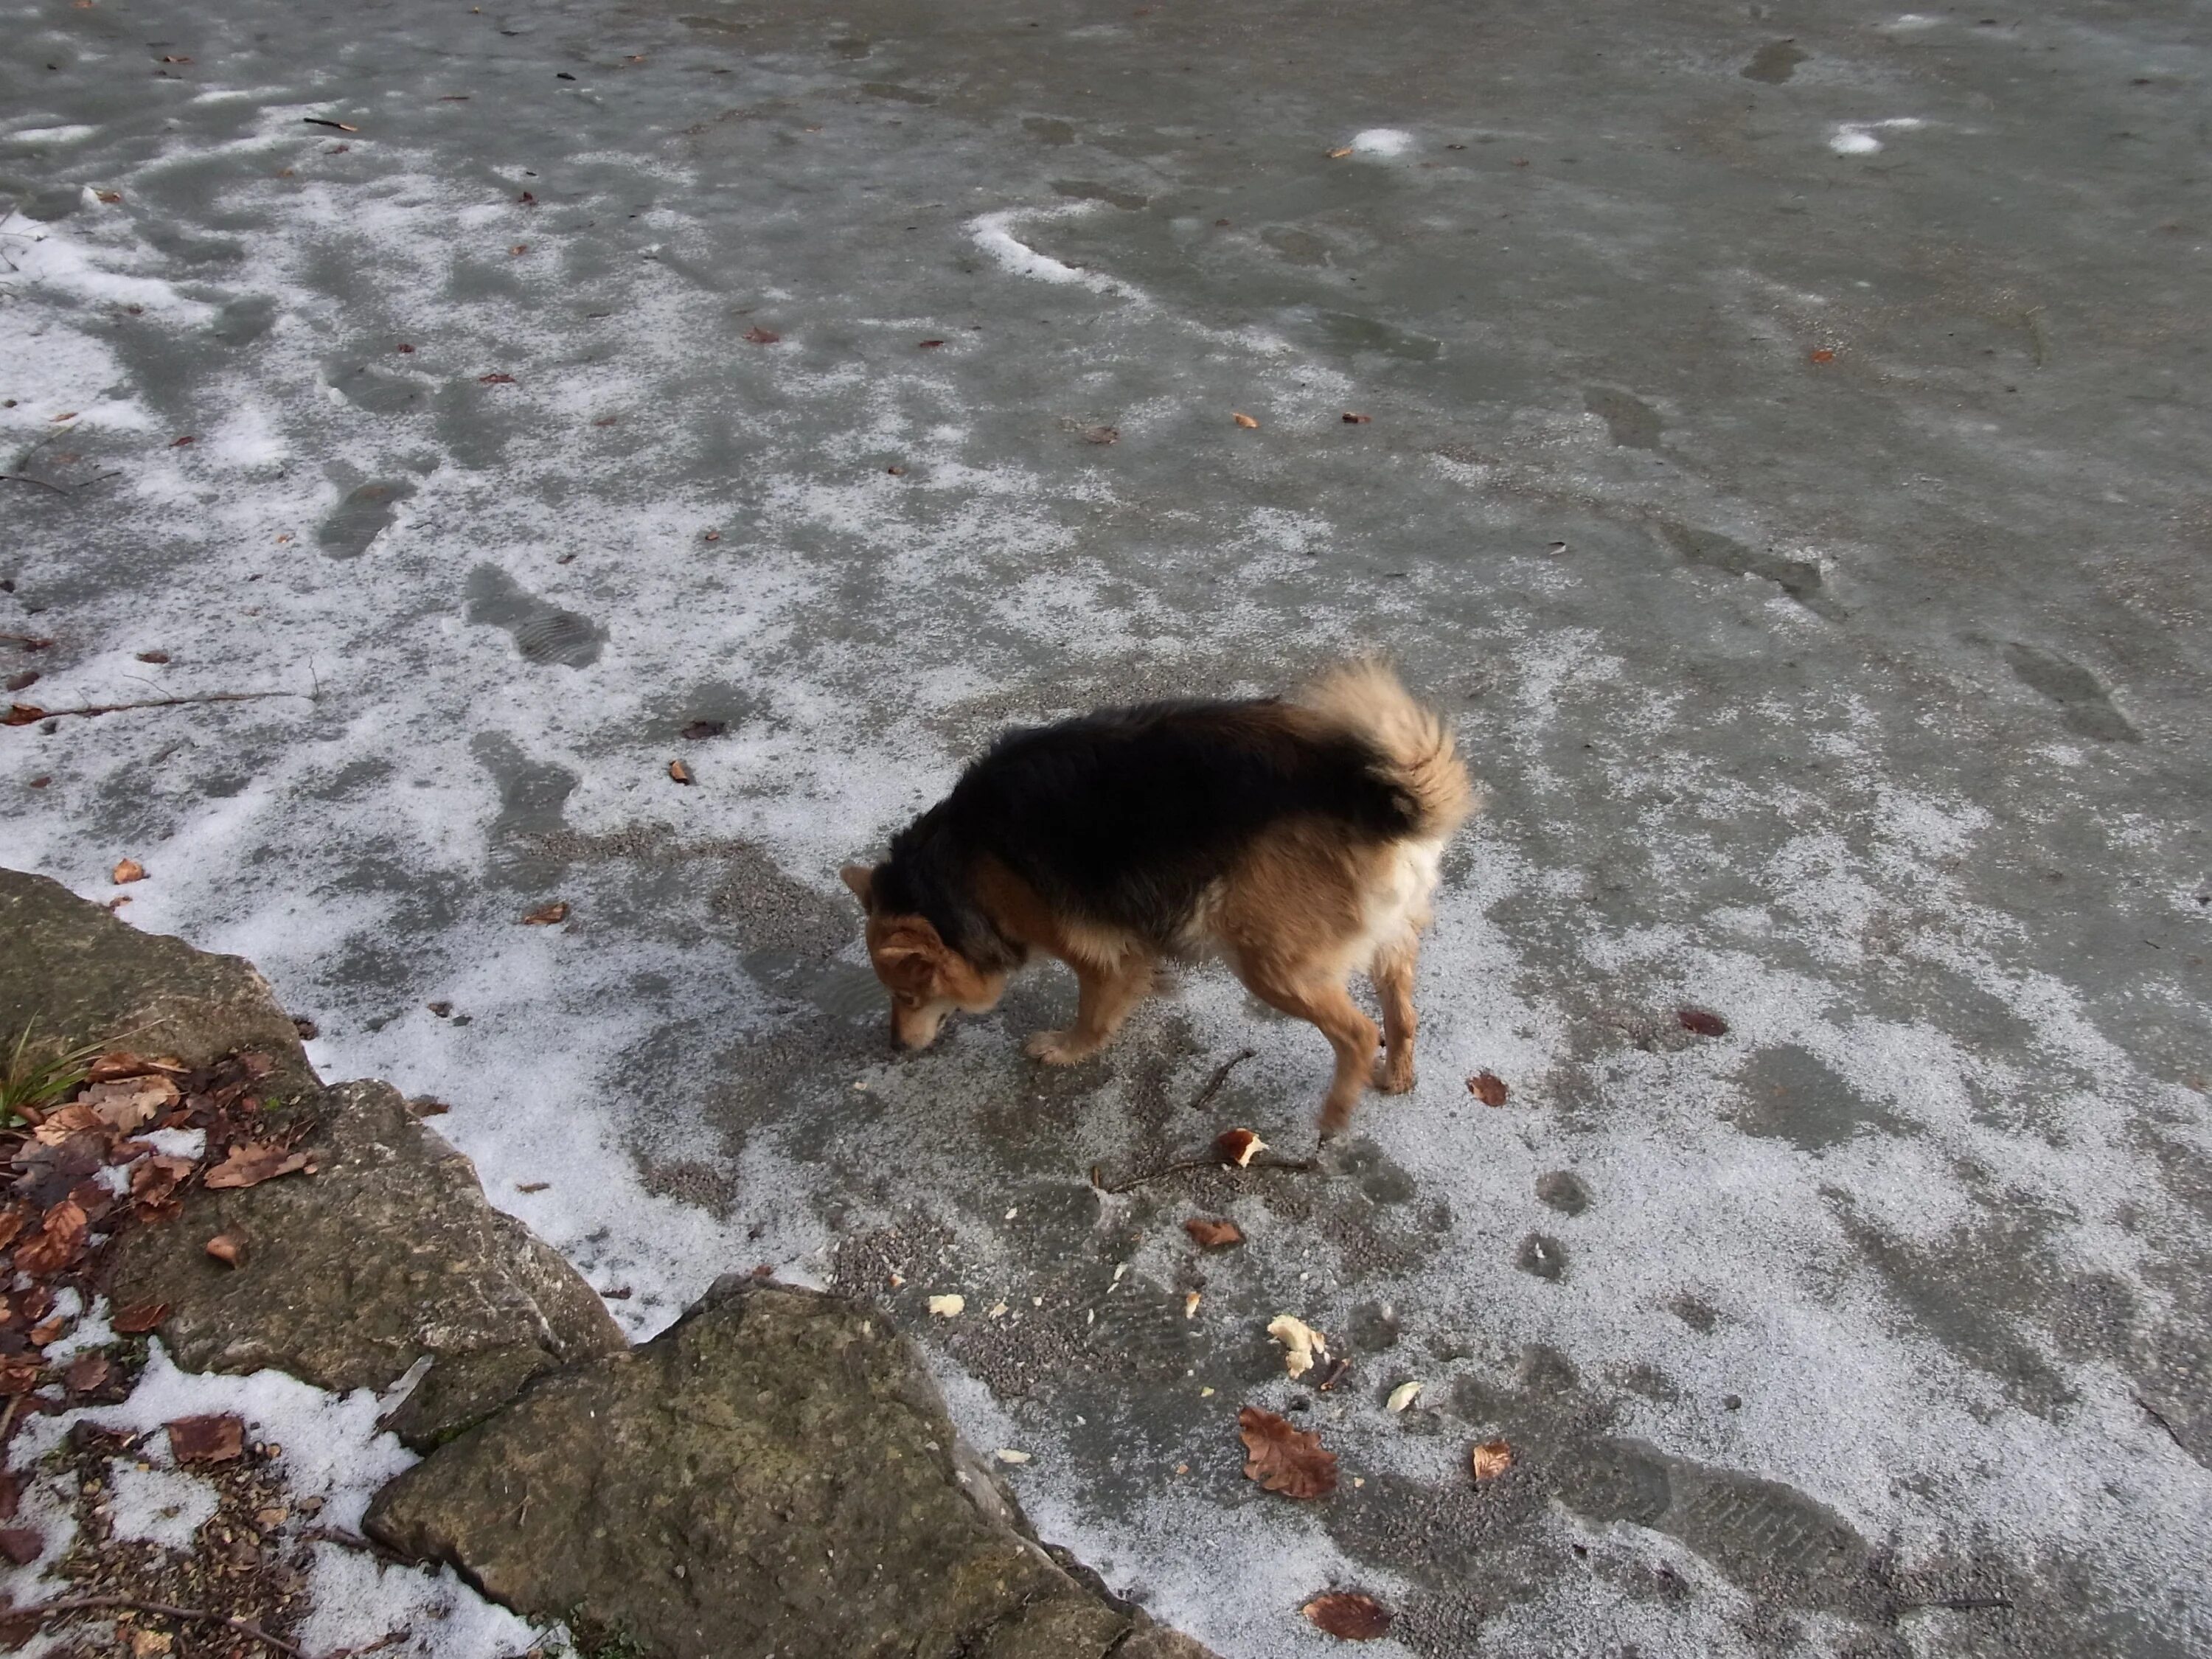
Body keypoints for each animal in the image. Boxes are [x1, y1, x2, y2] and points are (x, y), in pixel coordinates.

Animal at [836, 664, 1478, 1141]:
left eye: (909, 995)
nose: (895, 1046)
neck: (958, 866)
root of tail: (1373, 795)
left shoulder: (1095, 954)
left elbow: (1094, 1013)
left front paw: (1066, 1050)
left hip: (1270, 966)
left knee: (1359, 1032)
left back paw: (1337, 1111)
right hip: (1386, 937)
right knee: (1402, 1014)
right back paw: (1396, 1076)